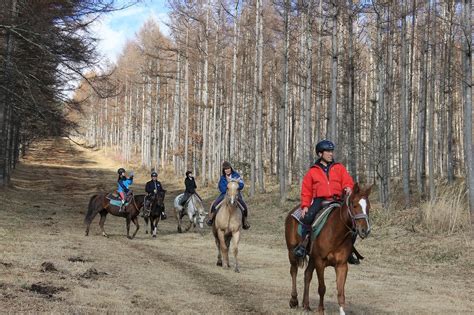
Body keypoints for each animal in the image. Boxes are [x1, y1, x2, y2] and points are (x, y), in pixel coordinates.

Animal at [284, 184, 372, 314]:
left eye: (369, 207)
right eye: (354, 205)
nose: (365, 230)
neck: (335, 233)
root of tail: (292, 212)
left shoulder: (341, 265)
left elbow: (340, 292)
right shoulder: (320, 262)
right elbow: (322, 288)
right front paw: (321, 310)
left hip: (312, 258)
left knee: (307, 275)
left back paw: (306, 305)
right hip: (292, 252)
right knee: (293, 271)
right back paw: (294, 301)